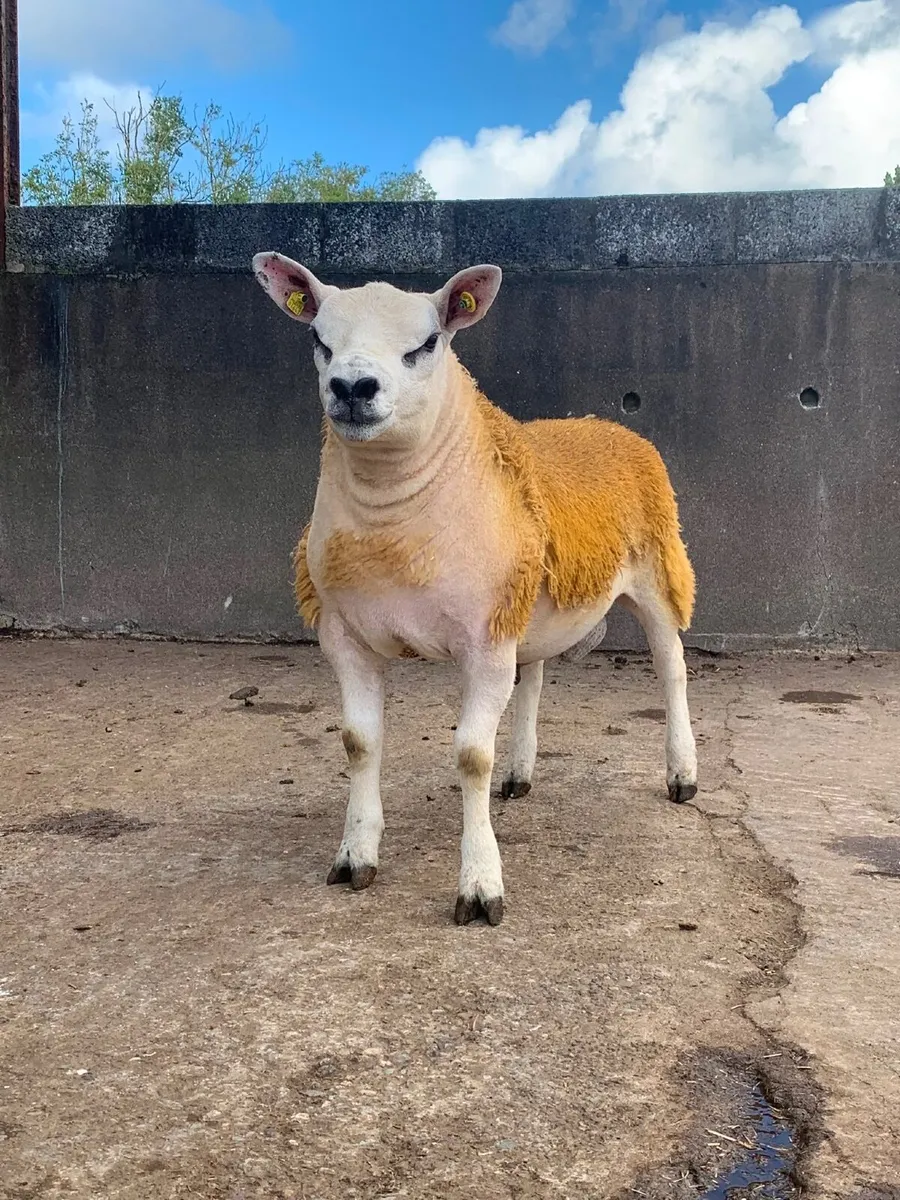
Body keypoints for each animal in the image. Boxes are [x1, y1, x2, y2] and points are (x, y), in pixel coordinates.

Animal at [252, 252, 698, 926]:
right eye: (319, 340)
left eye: (427, 343)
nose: (353, 388)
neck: (393, 521)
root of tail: (606, 424)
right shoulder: (344, 636)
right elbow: (359, 743)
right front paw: (355, 857)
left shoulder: (484, 642)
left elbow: (469, 757)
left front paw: (481, 885)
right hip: (527, 605)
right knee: (533, 677)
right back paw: (520, 774)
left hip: (655, 572)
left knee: (672, 670)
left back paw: (681, 774)